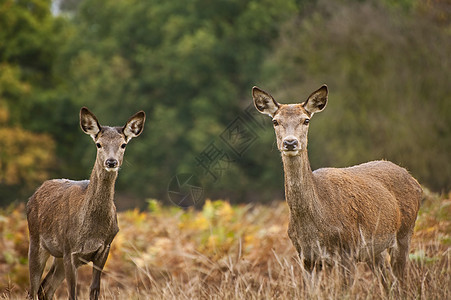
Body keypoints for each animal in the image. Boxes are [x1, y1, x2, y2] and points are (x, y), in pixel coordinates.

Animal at [26, 106, 146, 298]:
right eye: (99, 144)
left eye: (123, 144)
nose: (111, 162)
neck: (92, 231)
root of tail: (33, 197)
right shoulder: (70, 250)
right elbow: (72, 293)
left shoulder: (104, 249)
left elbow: (94, 289)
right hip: (36, 240)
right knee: (33, 289)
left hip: (58, 257)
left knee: (45, 288)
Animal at [252, 85, 422, 282]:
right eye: (275, 121)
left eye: (306, 120)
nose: (290, 142)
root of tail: (414, 180)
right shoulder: (306, 257)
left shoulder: (347, 251)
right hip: (374, 250)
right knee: (387, 279)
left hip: (405, 231)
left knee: (402, 279)